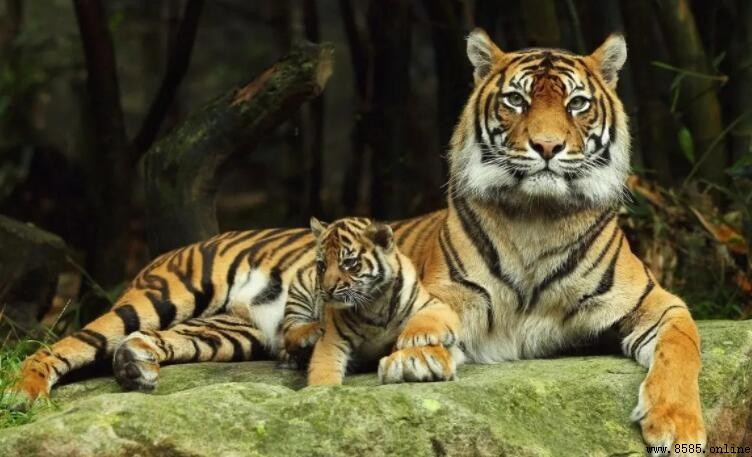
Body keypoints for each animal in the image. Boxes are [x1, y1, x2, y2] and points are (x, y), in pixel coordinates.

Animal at [281, 216, 461, 385]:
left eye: (348, 262)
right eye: (322, 265)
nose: (327, 289)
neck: (375, 302)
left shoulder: (434, 304)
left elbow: (428, 317)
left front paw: (414, 338)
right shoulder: (333, 340)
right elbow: (324, 370)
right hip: (300, 289)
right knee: (289, 332)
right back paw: (313, 331)